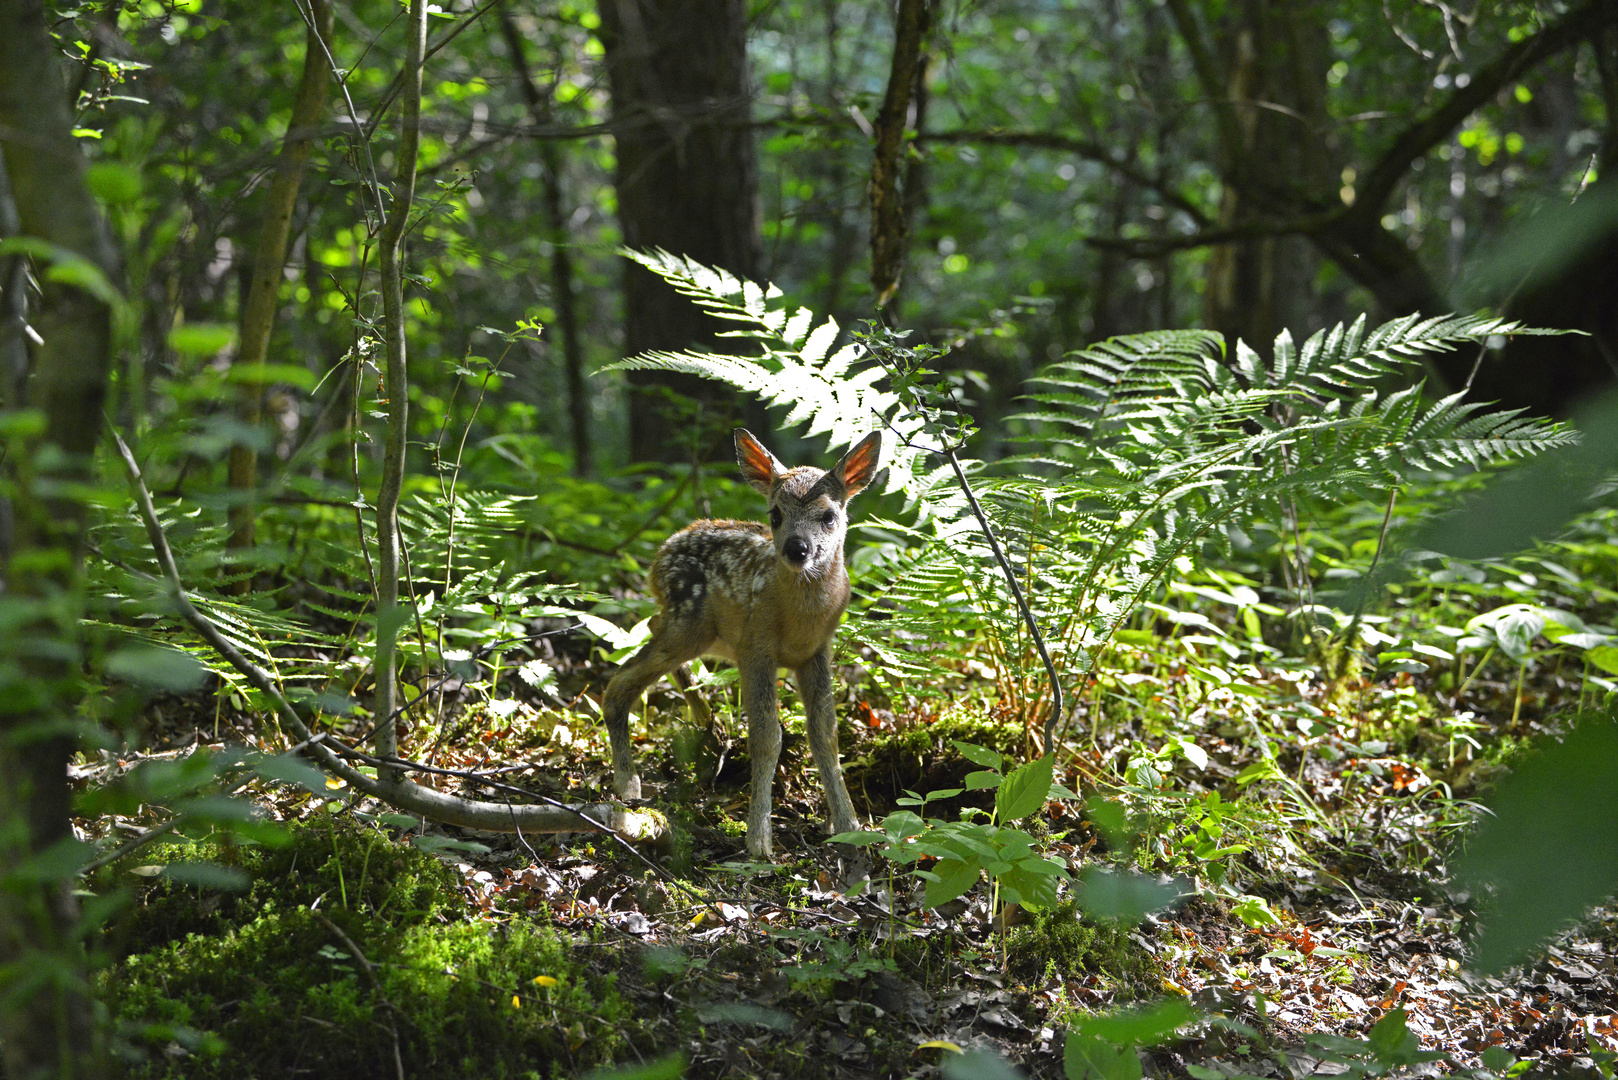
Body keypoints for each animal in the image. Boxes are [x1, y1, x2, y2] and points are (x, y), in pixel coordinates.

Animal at [598, 427, 886, 854]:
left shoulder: (817, 652)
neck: (798, 619)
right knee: (619, 679)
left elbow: (826, 736)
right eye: (775, 514)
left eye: (829, 515)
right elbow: (767, 737)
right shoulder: (756, 647)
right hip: (691, 621)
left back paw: (702, 716)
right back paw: (628, 782)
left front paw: (850, 826)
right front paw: (759, 840)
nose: (796, 548)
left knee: (649, 624)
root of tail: (659, 554)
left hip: (696, 628)